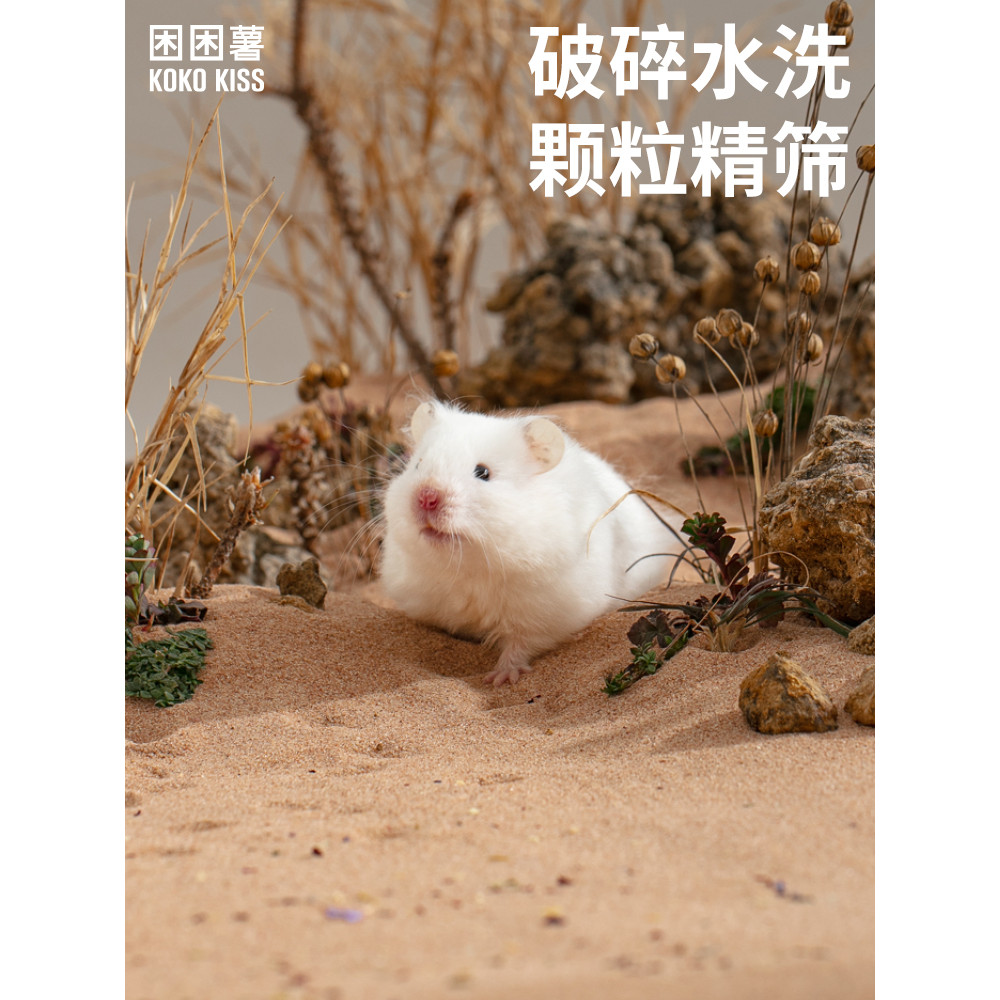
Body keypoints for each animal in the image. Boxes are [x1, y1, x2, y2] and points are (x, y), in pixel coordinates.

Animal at [379, 400, 684, 686]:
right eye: (417, 465)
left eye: (483, 472)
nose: (426, 498)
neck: (468, 565)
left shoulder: (543, 616)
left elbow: (520, 646)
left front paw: (500, 679)